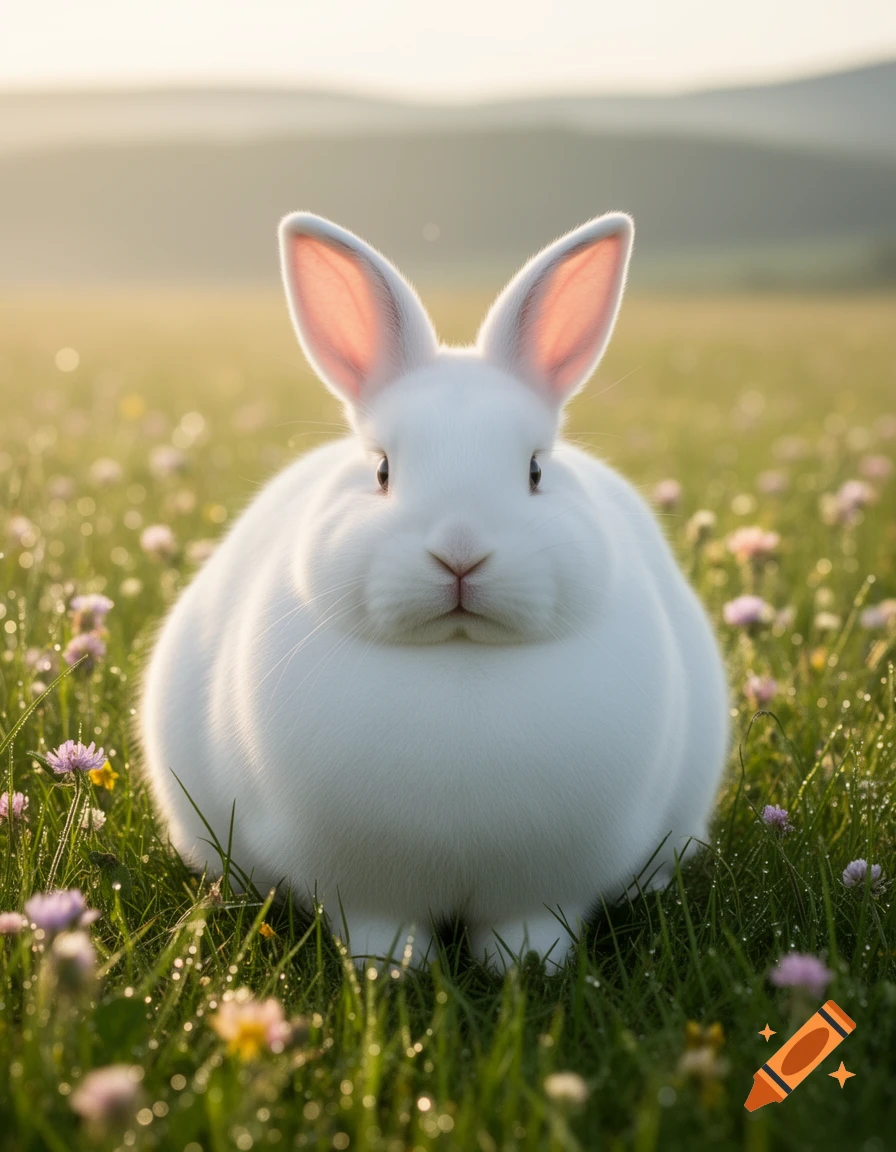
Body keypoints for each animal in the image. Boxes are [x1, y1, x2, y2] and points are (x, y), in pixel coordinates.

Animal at [139, 210, 730, 969]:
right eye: (383, 470)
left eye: (535, 471)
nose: (460, 554)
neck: (459, 654)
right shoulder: (365, 893)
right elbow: (379, 929)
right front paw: (386, 974)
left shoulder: (543, 891)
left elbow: (530, 928)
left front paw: (526, 970)